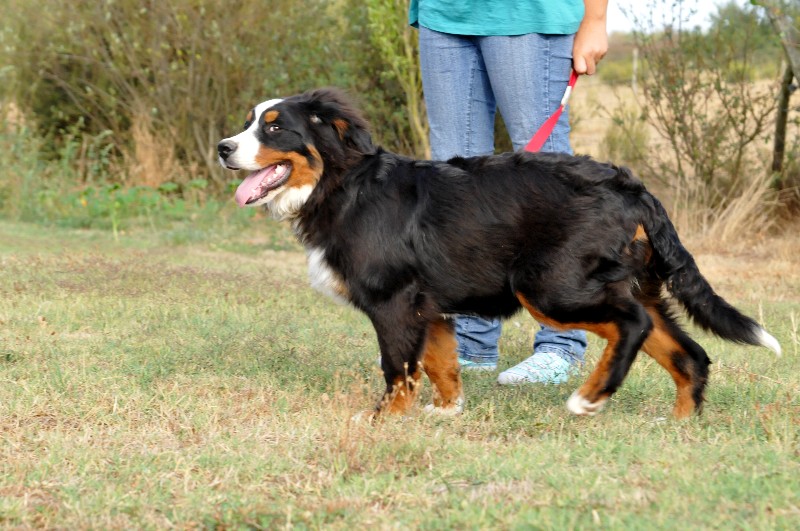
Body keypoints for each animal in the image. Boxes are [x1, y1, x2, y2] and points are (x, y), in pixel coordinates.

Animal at [216, 88, 780, 420]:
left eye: (274, 127)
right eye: (248, 122)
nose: (223, 148)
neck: (340, 186)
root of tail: (629, 186)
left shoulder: (393, 302)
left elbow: (398, 369)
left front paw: (384, 420)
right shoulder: (427, 308)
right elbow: (440, 363)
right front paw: (446, 412)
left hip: (551, 286)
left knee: (634, 325)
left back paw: (589, 397)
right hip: (621, 284)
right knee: (688, 353)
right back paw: (679, 424)